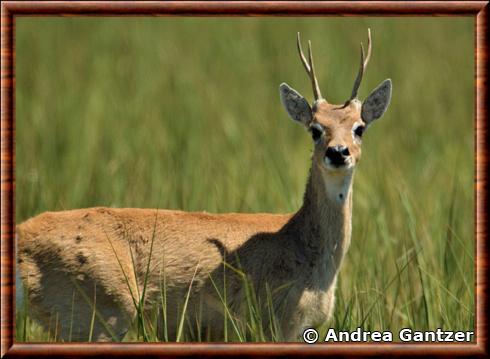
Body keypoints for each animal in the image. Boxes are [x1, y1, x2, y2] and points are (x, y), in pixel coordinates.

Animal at [17, 29, 392, 342]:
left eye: (359, 127)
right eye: (315, 129)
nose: (338, 152)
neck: (303, 246)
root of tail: (22, 238)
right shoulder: (277, 322)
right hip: (98, 313)